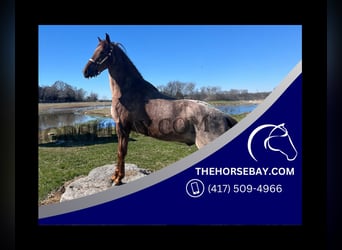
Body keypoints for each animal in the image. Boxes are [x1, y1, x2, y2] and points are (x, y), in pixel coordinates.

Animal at [83, 33, 238, 185]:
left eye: (103, 52)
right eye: (95, 50)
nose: (86, 71)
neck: (128, 91)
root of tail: (224, 117)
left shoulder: (122, 127)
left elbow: (121, 152)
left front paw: (117, 179)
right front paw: (115, 177)